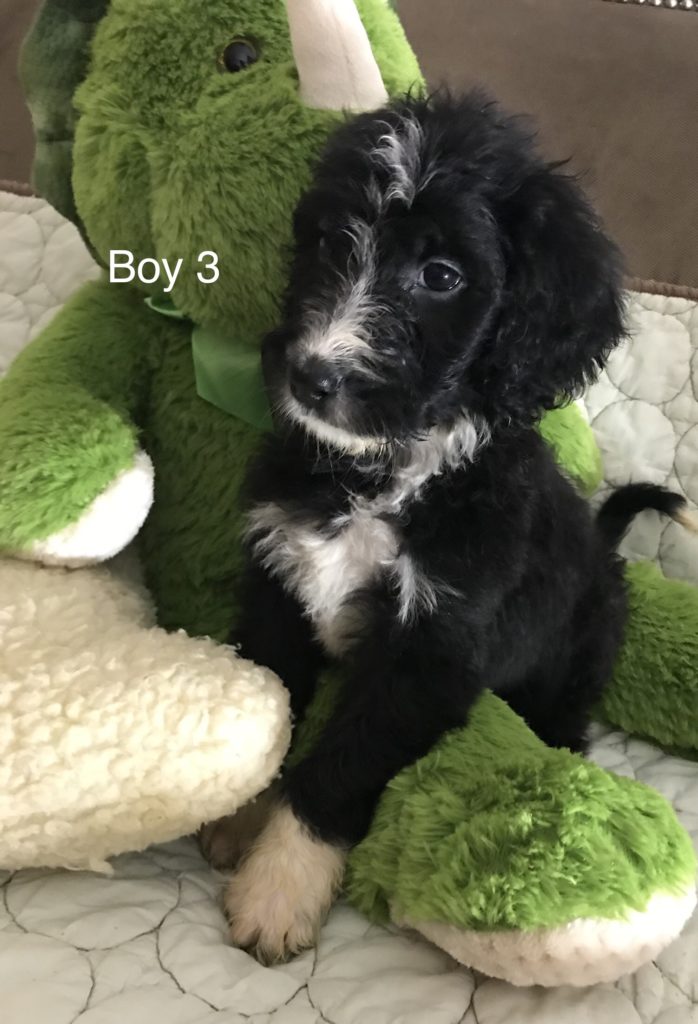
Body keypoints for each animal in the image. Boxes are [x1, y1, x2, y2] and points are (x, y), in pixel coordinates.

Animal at [207, 92, 691, 962]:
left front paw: (277, 890)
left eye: (441, 276)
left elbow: (340, 767)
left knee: (562, 721)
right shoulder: (278, 578)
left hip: (574, 660)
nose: (309, 376)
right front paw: (241, 809)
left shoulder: (430, 652)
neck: (386, 478)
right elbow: (273, 695)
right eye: (331, 241)